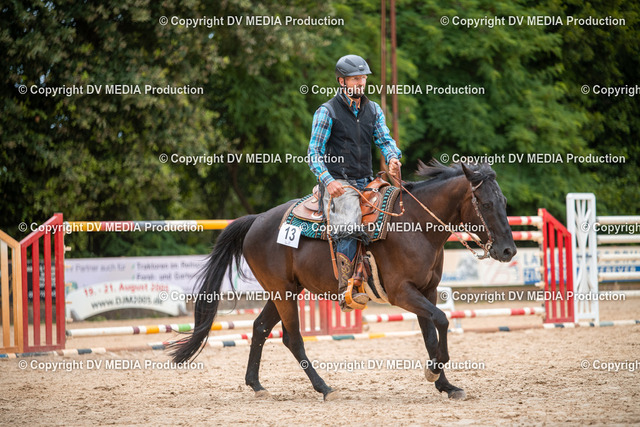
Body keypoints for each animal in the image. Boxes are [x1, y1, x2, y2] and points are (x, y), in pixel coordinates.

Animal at [171, 161, 517, 401]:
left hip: (284, 291)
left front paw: (445, 384)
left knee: (259, 328)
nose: (508, 250)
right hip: (283, 293)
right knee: (292, 338)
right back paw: (324, 387)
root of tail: (256, 220)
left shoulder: (426, 292)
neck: (415, 225)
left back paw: (257, 385)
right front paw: (435, 371)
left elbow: (432, 333)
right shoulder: (402, 293)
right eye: (486, 204)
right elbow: (443, 320)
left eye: (504, 203)